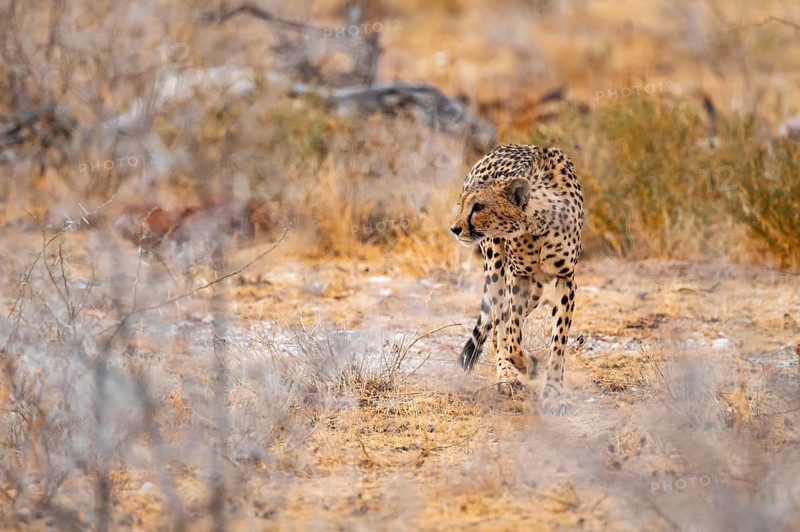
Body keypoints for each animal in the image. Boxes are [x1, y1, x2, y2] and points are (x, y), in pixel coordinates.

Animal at [449, 144, 584, 414]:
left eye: (478, 207)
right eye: (462, 205)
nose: (455, 229)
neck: (538, 224)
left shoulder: (566, 277)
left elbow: (559, 339)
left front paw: (553, 393)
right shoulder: (519, 276)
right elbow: (511, 334)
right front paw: (528, 366)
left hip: (535, 291)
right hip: (497, 269)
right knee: (498, 323)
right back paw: (506, 377)